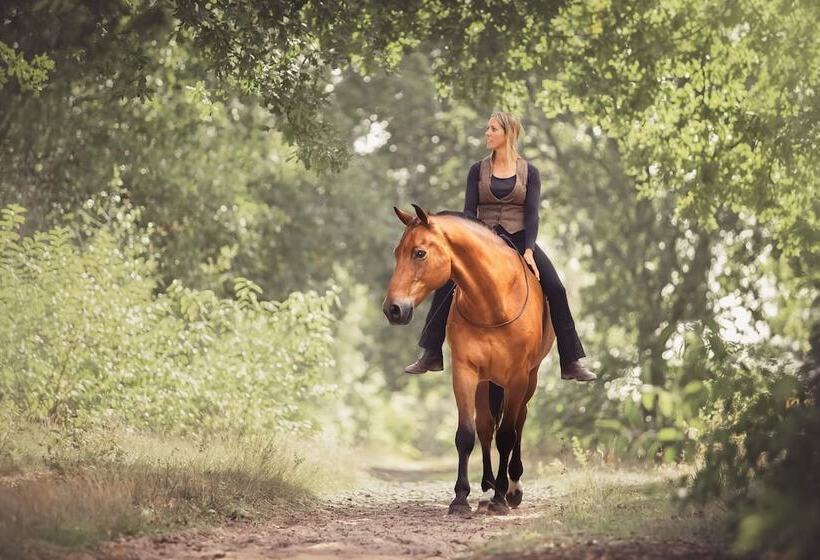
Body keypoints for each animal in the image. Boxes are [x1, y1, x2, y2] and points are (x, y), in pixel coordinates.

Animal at [383, 204, 555, 515]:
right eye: (396, 252)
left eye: (419, 253)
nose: (393, 309)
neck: (493, 303)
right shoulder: (465, 371)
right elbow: (466, 433)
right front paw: (461, 498)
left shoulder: (517, 377)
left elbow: (507, 435)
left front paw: (501, 498)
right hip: (486, 381)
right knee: (485, 426)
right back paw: (487, 488)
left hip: (529, 379)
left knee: (519, 422)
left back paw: (511, 489)